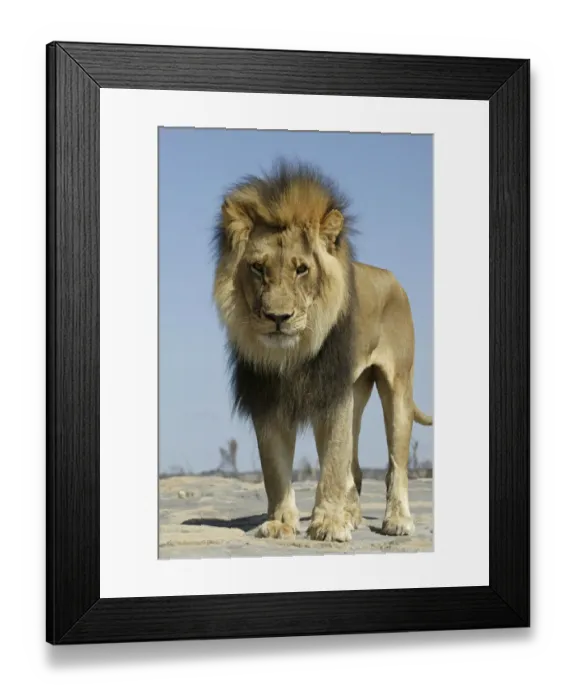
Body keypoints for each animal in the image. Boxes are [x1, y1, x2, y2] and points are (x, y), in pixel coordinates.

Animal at [212, 160, 432, 542]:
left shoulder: (333, 396)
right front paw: (281, 523)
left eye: (302, 269)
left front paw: (328, 523)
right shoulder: (267, 399)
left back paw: (397, 520)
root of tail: (392, 278)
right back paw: (353, 516)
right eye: (257, 267)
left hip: (397, 389)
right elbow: (275, 469)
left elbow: (331, 465)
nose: (278, 318)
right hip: (356, 391)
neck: (292, 355)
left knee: (396, 463)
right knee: (354, 467)